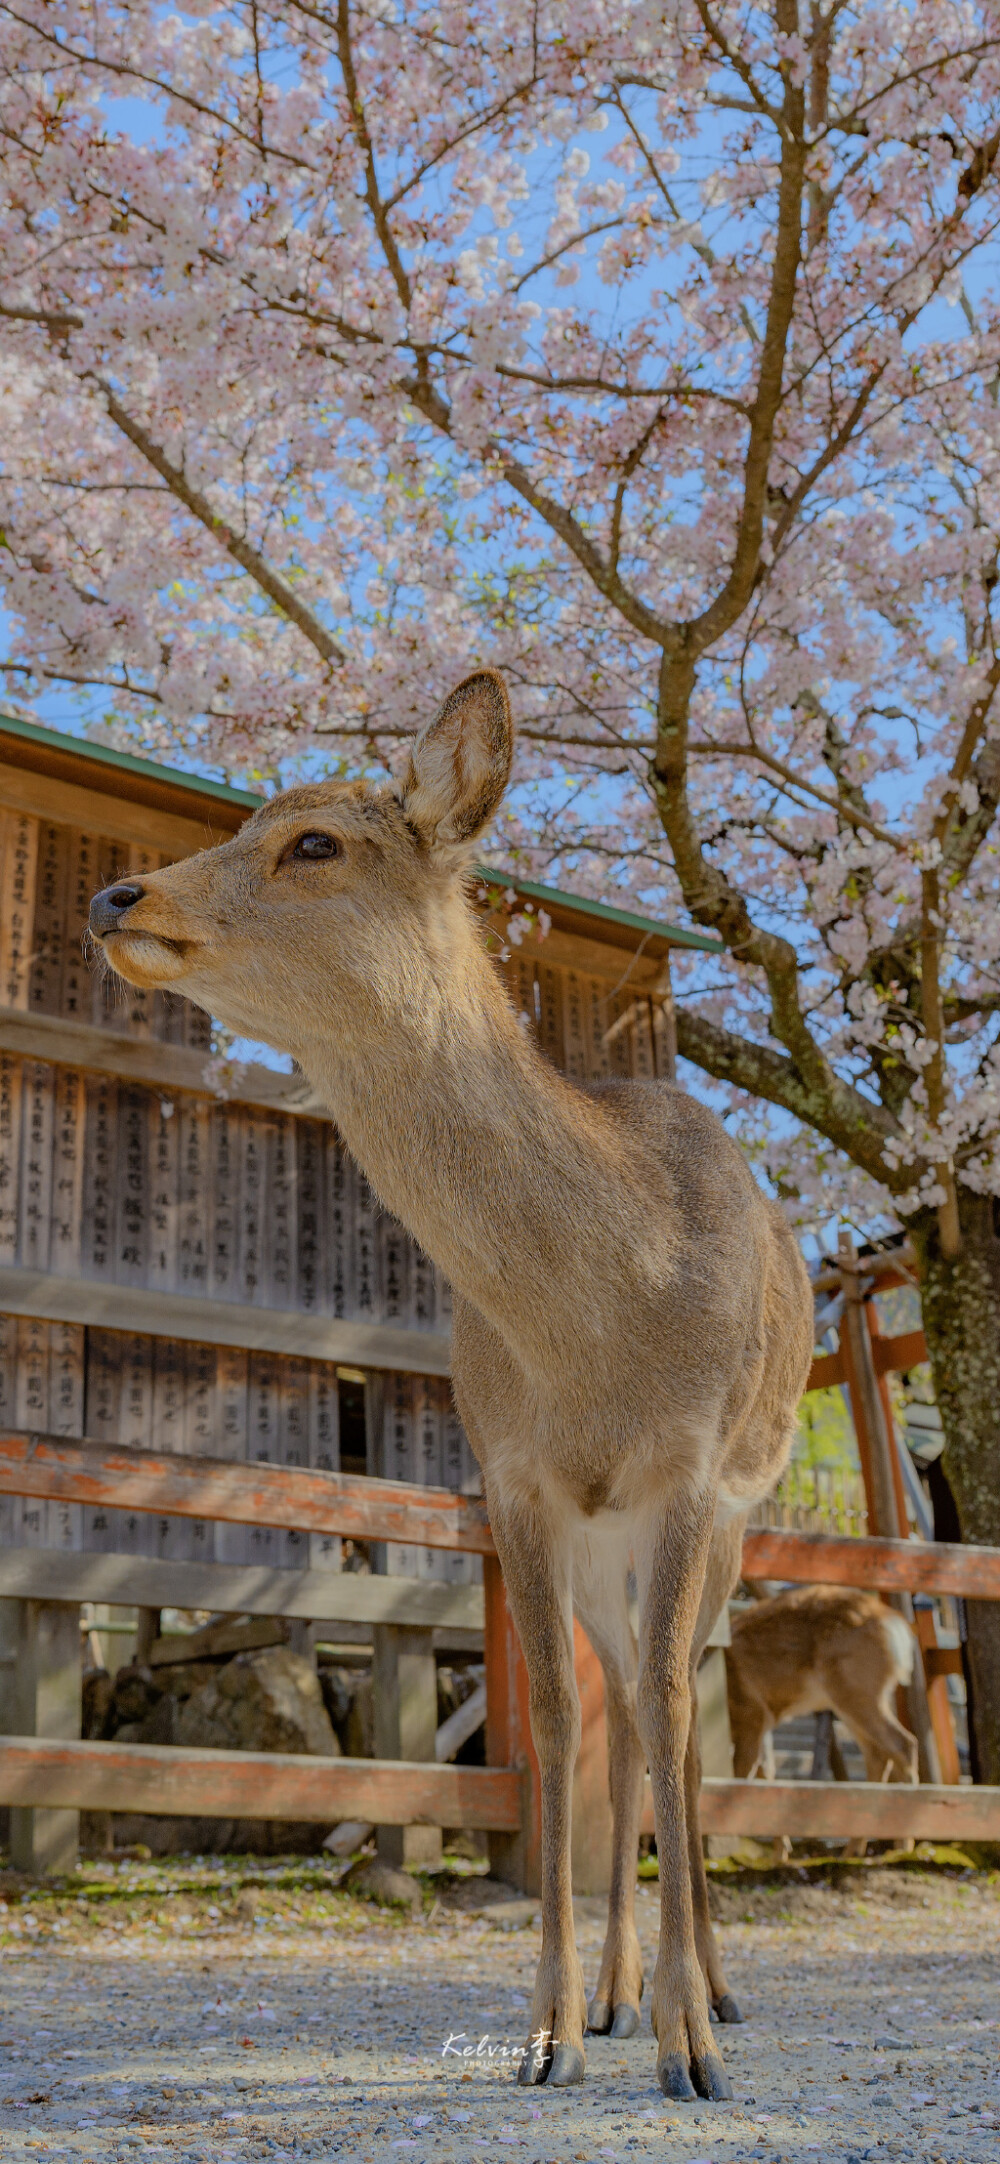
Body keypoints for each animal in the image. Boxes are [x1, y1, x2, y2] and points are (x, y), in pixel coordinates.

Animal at [89, 670, 818, 2094]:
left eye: (314, 840)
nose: (116, 895)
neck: (595, 1334)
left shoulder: (691, 1468)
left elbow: (664, 1707)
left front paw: (693, 2050)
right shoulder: (512, 1478)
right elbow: (553, 1718)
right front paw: (551, 2033)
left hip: (735, 1523)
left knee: (677, 1709)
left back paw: (713, 1989)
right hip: (605, 1543)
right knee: (624, 1716)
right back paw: (619, 1994)